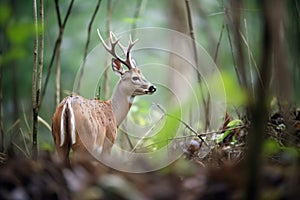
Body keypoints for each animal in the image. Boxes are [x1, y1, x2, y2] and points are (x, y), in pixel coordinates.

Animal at [51, 28, 157, 165]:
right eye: (135, 77)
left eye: (142, 74)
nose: (152, 87)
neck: (114, 113)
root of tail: (67, 104)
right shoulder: (109, 142)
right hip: (85, 142)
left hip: (59, 141)